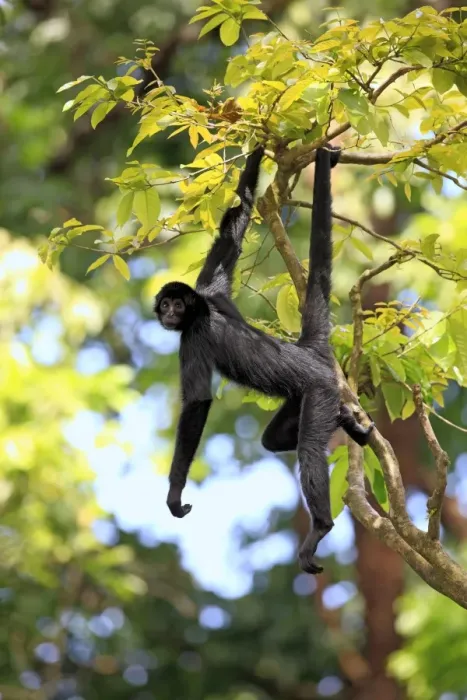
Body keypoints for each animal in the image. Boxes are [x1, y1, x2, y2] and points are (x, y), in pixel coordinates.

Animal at [154, 145, 374, 574]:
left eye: (177, 305)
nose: (169, 312)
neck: (202, 308)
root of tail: (308, 350)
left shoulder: (194, 334)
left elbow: (198, 401)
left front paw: (174, 495)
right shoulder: (211, 291)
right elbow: (232, 232)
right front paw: (256, 148)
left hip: (320, 389)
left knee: (309, 448)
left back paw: (320, 527)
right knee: (273, 439)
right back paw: (349, 423)